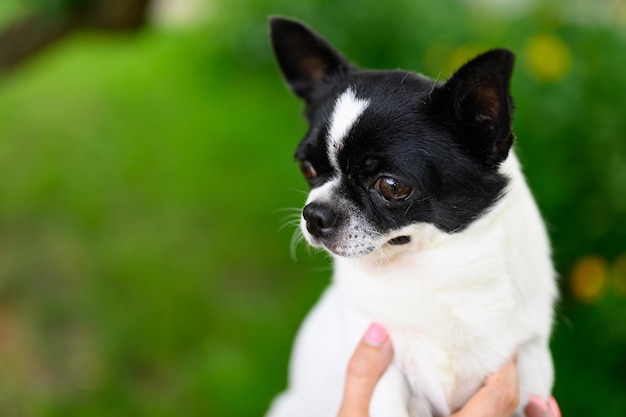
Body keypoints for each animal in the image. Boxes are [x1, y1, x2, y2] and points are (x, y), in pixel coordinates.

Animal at [266, 17, 560, 416]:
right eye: (307, 168)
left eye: (391, 186)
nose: (315, 214)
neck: (431, 270)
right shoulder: (382, 363)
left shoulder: (528, 363)